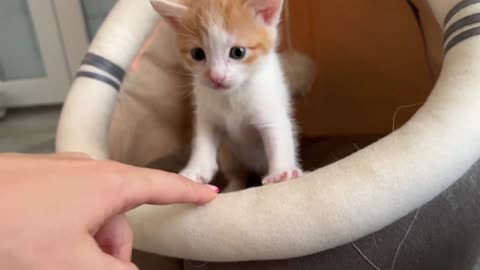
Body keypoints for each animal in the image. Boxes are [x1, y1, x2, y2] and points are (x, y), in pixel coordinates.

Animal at [151, 0, 300, 186]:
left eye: (238, 52)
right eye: (197, 54)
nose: (217, 77)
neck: (232, 96)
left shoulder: (270, 109)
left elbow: (278, 137)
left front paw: (280, 172)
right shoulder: (207, 117)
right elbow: (203, 141)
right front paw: (195, 170)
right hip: (227, 155)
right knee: (237, 173)